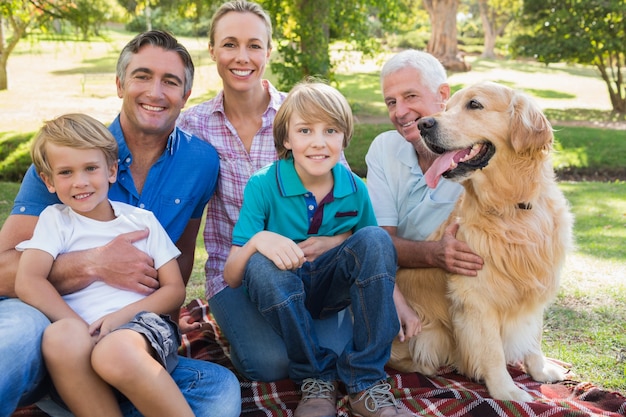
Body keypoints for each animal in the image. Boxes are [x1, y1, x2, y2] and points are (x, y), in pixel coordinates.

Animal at [388, 79, 572, 402]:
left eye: (474, 105)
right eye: (446, 107)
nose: (423, 124)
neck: (511, 208)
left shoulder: (535, 281)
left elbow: (533, 334)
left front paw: (539, 371)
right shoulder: (476, 298)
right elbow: (492, 351)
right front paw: (507, 391)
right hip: (429, 334)